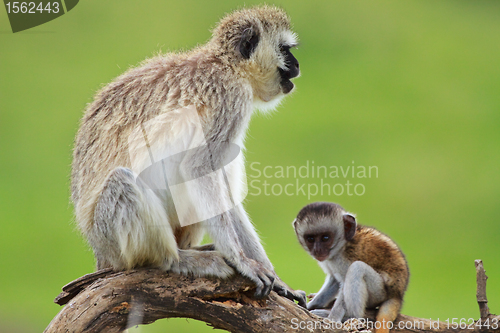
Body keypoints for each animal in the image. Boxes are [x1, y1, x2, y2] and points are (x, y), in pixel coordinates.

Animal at [70, 5, 304, 306]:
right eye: (285, 50)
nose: (297, 66)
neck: (228, 66)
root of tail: (100, 253)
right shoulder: (230, 101)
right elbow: (198, 168)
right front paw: (242, 261)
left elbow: (225, 191)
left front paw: (277, 279)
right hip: (110, 237)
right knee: (122, 181)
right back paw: (176, 259)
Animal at [294, 201, 408, 330]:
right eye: (310, 239)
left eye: (325, 238)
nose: (317, 250)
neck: (342, 246)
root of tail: (397, 294)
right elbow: (335, 280)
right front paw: (309, 305)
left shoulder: (343, 259)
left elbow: (344, 282)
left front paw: (332, 319)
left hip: (379, 293)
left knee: (357, 268)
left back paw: (351, 317)